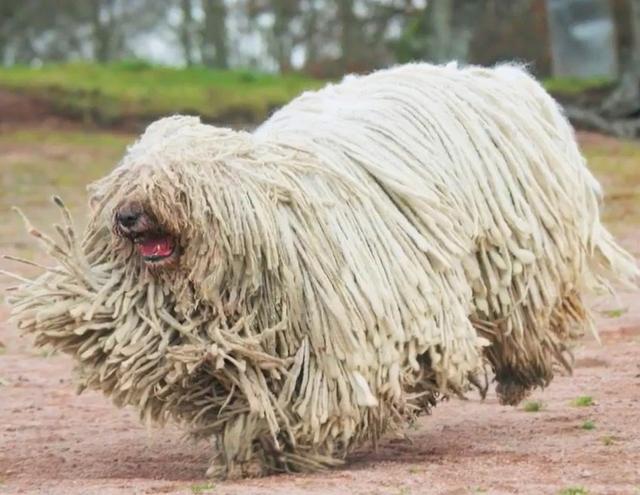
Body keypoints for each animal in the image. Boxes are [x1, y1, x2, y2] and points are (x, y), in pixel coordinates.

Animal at [6, 62, 640, 476]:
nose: (130, 217)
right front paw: (252, 450)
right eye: (126, 182)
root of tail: (506, 78)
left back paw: (523, 367)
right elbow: (234, 388)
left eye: (175, 183)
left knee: (529, 312)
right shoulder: (225, 340)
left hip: (520, 245)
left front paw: (305, 443)